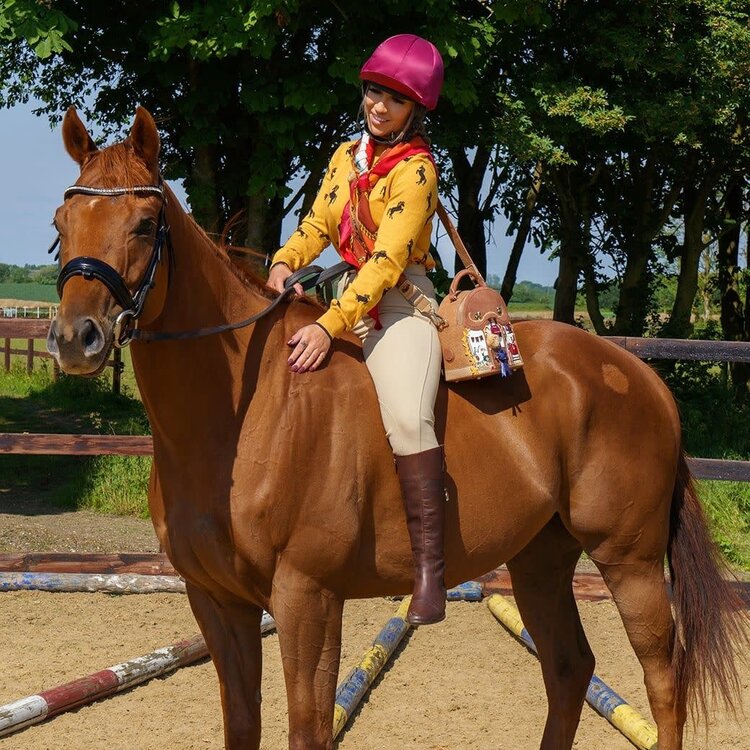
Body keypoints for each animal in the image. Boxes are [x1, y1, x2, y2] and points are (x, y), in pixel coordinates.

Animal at [47, 106, 746, 750]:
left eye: (144, 224)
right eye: (60, 225)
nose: (76, 338)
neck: (242, 419)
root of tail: (641, 375)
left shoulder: (306, 598)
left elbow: (308, 728)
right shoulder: (217, 602)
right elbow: (242, 724)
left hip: (629, 562)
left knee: (663, 684)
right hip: (539, 559)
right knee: (570, 668)